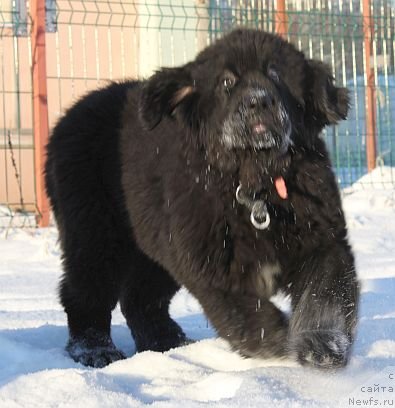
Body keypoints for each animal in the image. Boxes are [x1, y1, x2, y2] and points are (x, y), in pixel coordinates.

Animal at [44, 28, 360, 370]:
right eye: (227, 82)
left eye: (275, 74)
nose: (258, 101)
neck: (254, 181)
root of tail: (64, 121)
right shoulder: (211, 261)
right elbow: (243, 312)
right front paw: (273, 340)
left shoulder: (321, 241)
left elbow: (325, 296)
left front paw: (322, 345)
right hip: (94, 233)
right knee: (85, 292)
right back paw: (94, 350)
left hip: (154, 244)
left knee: (141, 298)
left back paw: (167, 342)